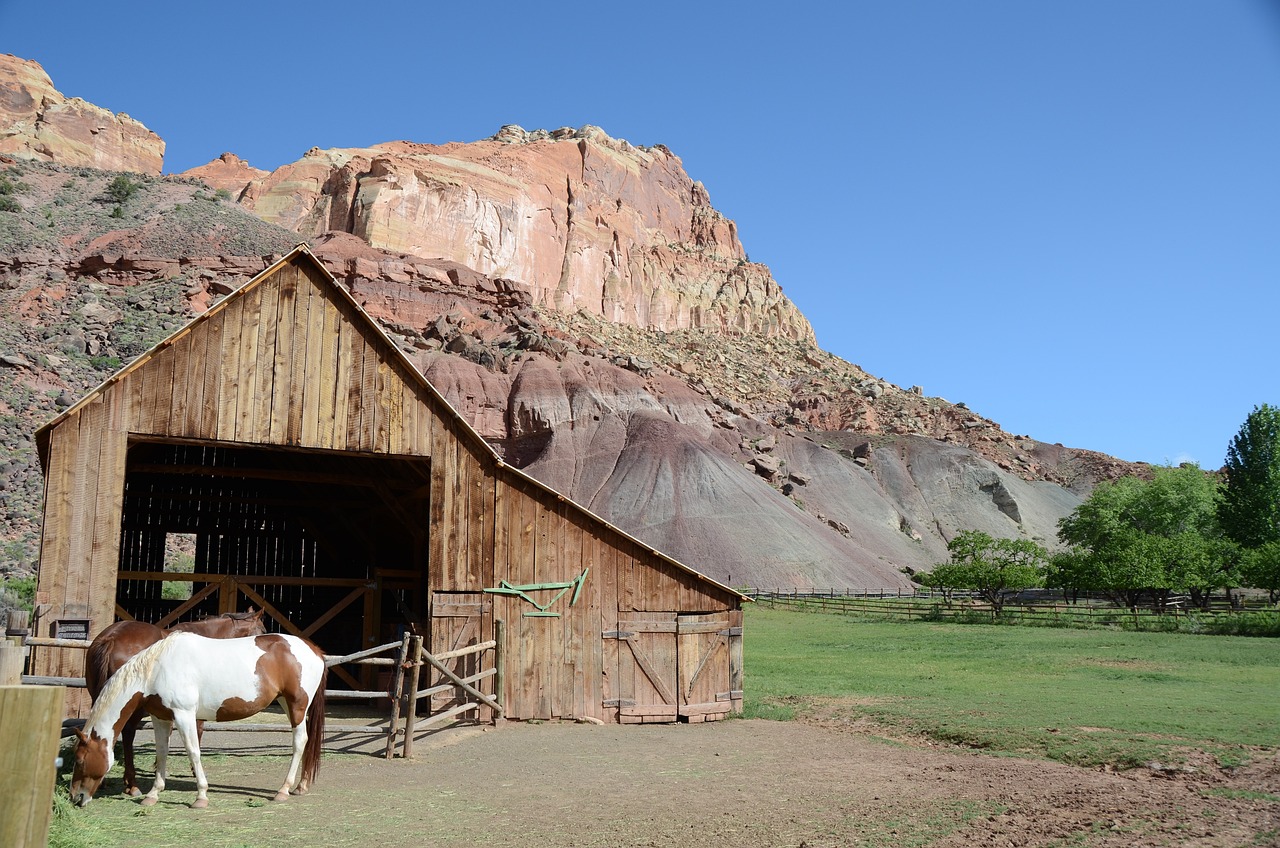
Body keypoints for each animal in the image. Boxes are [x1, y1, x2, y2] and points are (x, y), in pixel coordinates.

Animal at [70, 637, 327, 809]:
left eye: (80, 760)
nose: (75, 797)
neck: (157, 669)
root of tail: (314, 650)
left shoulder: (184, 715)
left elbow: (193, 752)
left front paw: (201, 796)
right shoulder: (161, 717)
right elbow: (161, 753)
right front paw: (152, 794)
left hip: (296, 706)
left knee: (300, 742)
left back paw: (283, 790)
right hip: (286, 702)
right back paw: (301, 786)